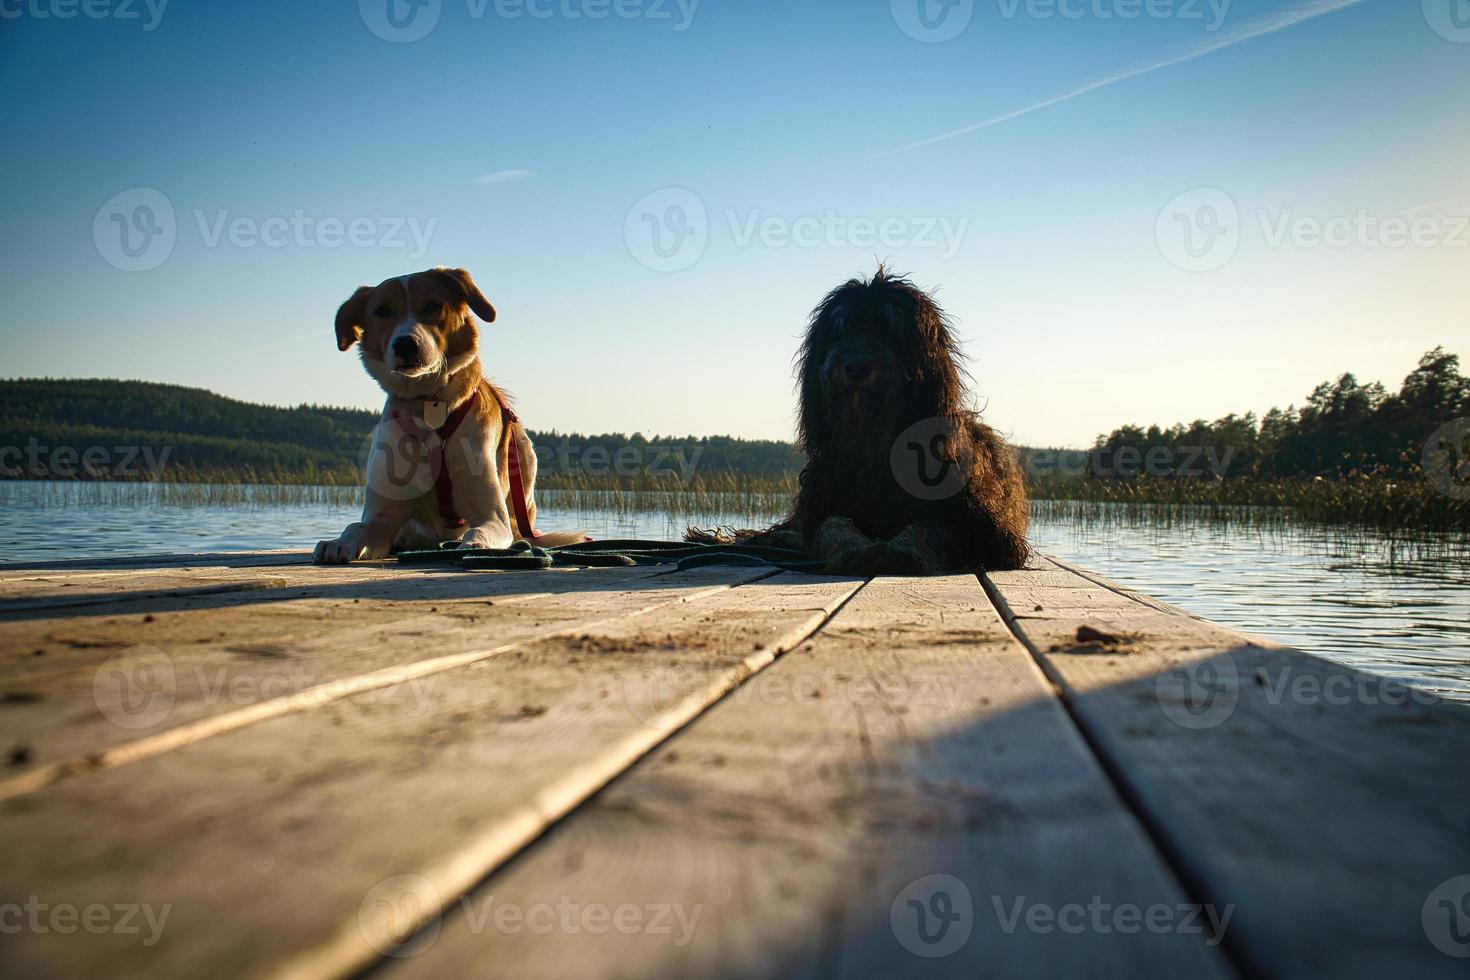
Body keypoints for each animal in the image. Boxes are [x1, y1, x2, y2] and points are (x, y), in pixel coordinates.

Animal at [313, 268, 582, 564]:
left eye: (432, 306)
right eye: (382, 310)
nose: (405, 344)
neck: (428, 404)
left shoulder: (492, 518)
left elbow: (479, 532)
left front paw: (474, 546)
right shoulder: (381, 518)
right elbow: (357, 528)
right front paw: (338, 543)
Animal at [693, 268, 1029, 575]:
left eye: (889, 328)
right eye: (841, 329)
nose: (855, 366)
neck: (875, 445)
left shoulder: (986, 531)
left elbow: (932, 528)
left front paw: (899, 550)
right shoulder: (821, 503)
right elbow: (830, 525)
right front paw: (853, 548)